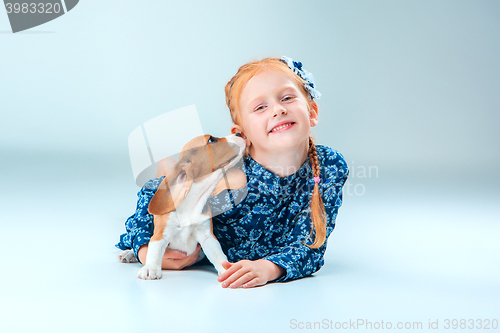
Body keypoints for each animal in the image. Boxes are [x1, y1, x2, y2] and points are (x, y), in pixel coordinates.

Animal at [121, 134, 246, 278]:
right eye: (211, 140)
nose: (239, 134)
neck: (192, 203)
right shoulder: (161, 234)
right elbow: (154, 251)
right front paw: (150, 268)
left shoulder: (207, 236)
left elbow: (218, 254)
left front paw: (228, 269)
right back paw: (128, 253)